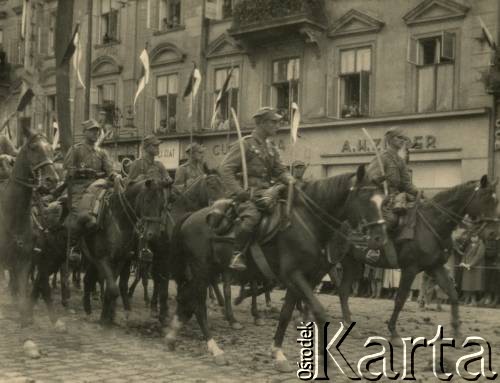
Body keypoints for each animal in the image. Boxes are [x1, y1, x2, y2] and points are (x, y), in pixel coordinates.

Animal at [0, 128, 60, 356]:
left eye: (51, 148)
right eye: (33, 148)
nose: (52, 179)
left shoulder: (24, 262)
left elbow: (25, 299)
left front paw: (28, 339)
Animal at [166, 166, 388, 372]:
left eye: (383, 201)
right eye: (365, 198)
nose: (379, 239)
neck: (308, 223)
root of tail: (190, 216)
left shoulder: (304, 279)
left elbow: (286, 314)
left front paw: (278, 353)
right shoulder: (295, 275)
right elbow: (319, 312)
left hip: (208, 270)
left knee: (187, 297)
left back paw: (173, 334)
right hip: (201, 270)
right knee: (198, 304)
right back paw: (215, 349)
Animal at [334, 176, 498, 344]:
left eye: (495, 200)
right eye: (485, 198)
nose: (493, 233)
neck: (432, 223)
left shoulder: (435, 267)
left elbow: (453, 295)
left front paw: (457, 334)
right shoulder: (410, 269)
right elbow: (400, 299)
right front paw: (394, 333)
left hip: (351, 263)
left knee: (343, 291)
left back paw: (349, 324)